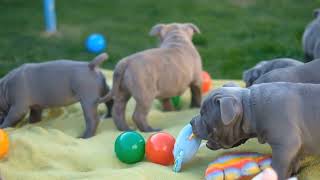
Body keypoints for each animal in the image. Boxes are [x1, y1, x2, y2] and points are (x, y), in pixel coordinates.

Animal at [190, 83, 320, 180]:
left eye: (203, 114)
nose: (191, 121)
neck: (249, 107)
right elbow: (294, 158)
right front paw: (293, 171)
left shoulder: (285, 146)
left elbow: (278, 166)